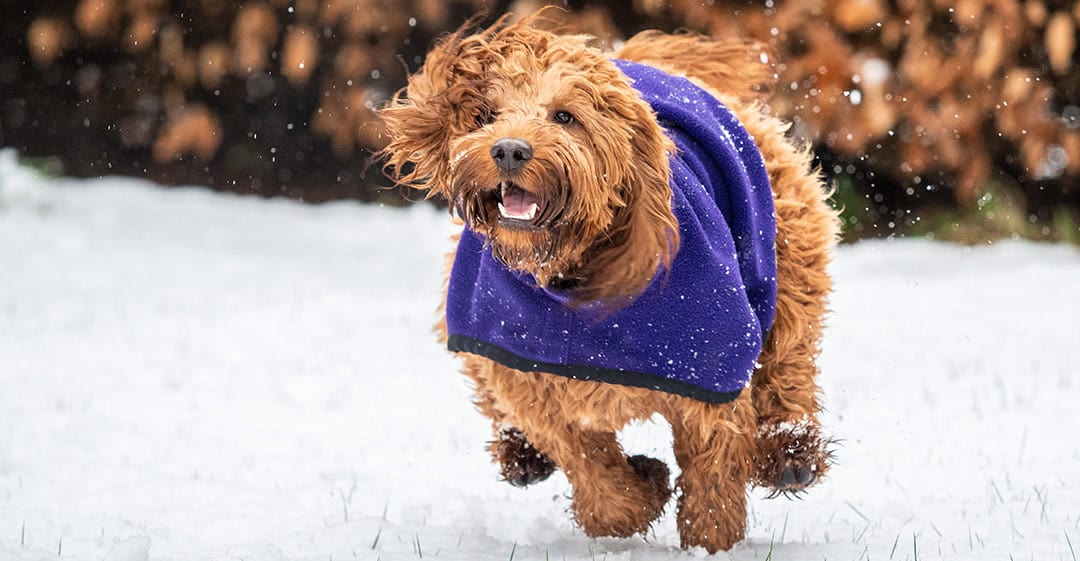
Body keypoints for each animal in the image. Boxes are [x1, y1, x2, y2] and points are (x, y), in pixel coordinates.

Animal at [380, 13, 842, 553]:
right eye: (486, 115)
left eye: (564, 116)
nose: (509, 150)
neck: (571, 276)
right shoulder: (532, 382)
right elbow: (591, 468)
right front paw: (642, 490)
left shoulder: (708, 369)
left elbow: (713, 463)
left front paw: (710, 540)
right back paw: (521, 454)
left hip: (787, 257)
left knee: (790, 359)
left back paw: (790, 452)